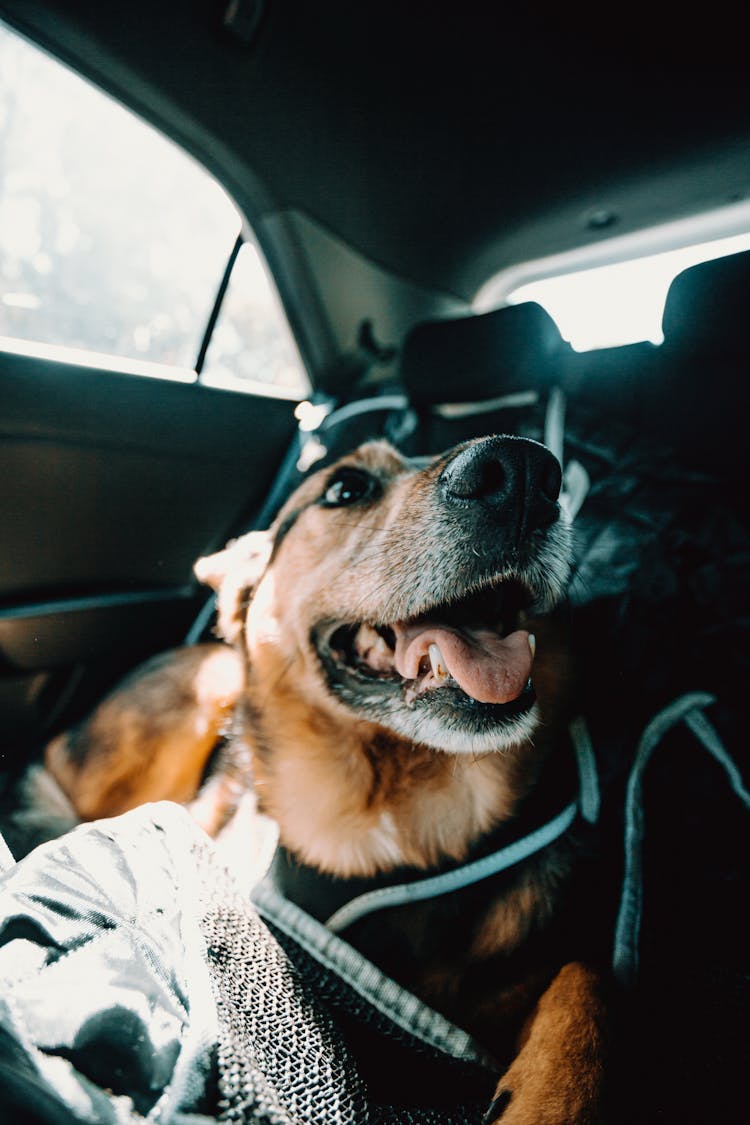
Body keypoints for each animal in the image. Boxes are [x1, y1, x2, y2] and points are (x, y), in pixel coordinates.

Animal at [32, 434, 611, 1120]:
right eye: (345, 488)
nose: (524, 472)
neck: (399, 826)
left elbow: (587, 977)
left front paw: (555, 1099)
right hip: (211, 688)